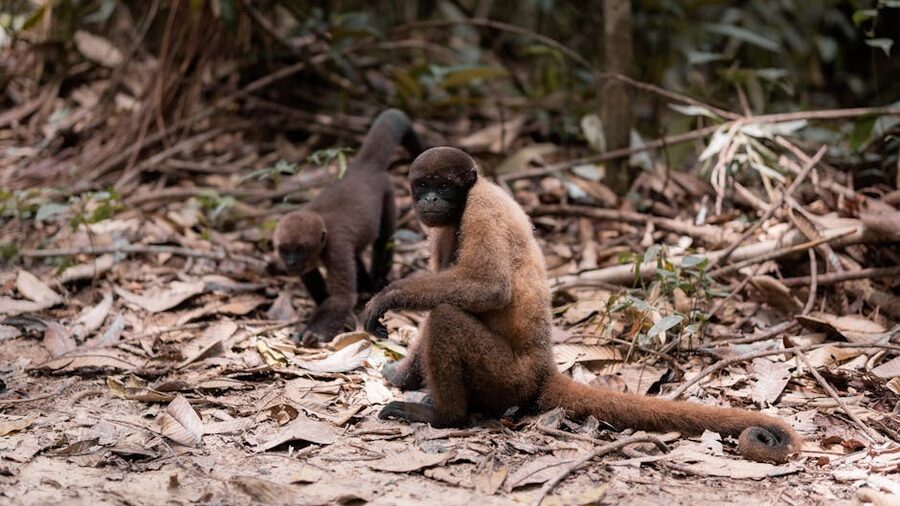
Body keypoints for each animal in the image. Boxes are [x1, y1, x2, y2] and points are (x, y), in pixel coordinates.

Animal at [273, 109, 424, 346]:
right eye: (284, 250)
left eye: (300, 250)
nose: (291, 262)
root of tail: (362, 167)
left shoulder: (336, 244)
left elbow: (341, 297)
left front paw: (313, 331)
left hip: (389, 194)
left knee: (383, 240)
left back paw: (376, 283)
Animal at [363, 146, 802, 464]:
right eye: (422, 185)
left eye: (445, 185)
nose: (431, 198)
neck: (469, 196)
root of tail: (544, 371)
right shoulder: (440, 232)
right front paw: (402, 374)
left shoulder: (480, 209)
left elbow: (489, 287)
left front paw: (389, 296)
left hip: (507, 378)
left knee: (445, 317)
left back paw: (445, 416)